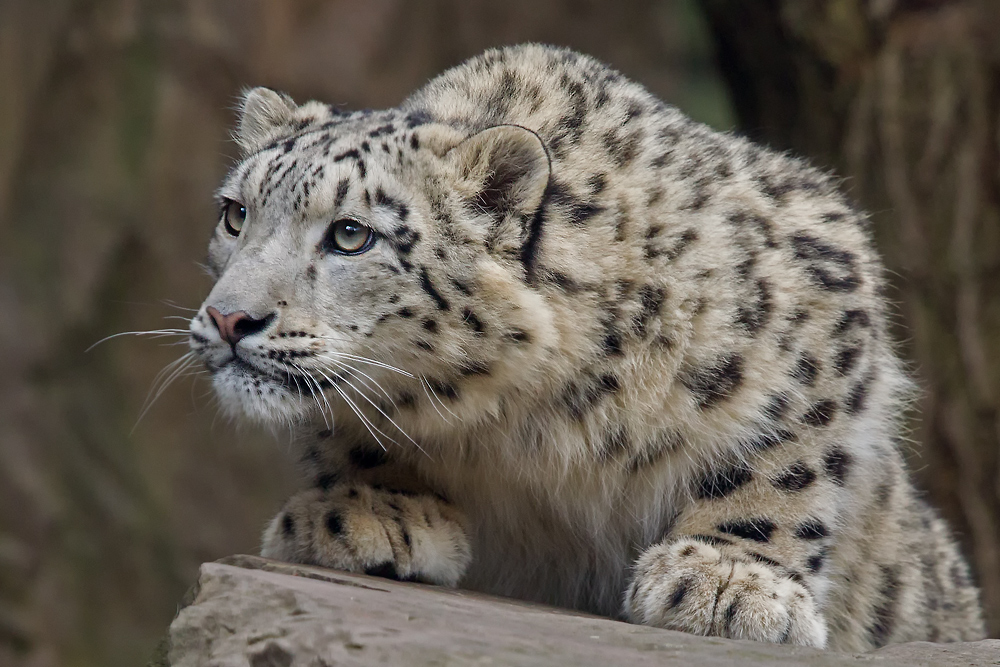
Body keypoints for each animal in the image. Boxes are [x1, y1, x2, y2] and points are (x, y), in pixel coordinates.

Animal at [186, 44, 984, 648]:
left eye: (352, 234)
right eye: (236, 213)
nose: (228, 318)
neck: (520, 420)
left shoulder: (823, 272)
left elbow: (785, 452)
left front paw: (726, 580)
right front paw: (364, 509)